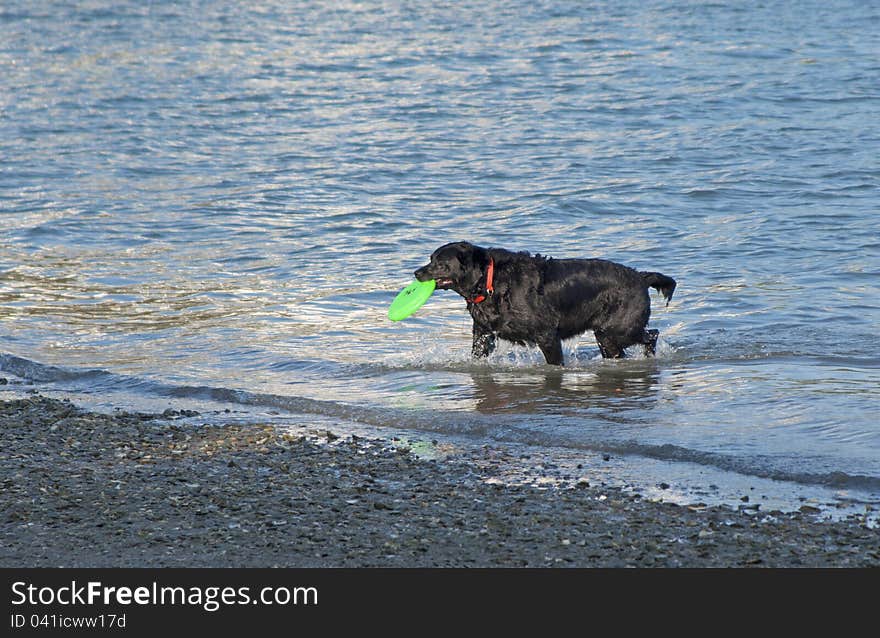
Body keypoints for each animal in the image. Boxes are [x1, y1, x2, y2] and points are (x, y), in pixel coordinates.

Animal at [416, 242, 676, 368]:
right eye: (431, 259)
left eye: (439, 263)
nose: (417, 272)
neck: (490, 281)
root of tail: (640, 277)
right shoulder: (482, 333)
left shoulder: (547, 334)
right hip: (607, 336)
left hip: (619, 329)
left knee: (652, 334)